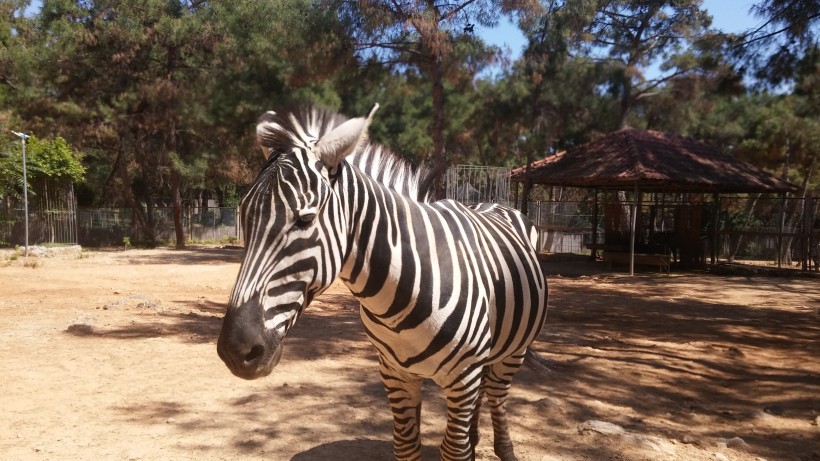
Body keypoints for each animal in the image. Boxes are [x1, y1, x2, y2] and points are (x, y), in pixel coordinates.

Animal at [219, 104, 552, 460]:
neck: (401, 295)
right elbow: (406, 446)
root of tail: (493, 204)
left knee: (497, 395)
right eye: (244, 217)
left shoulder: (463, 377)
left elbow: (454, 450)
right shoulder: (395, 374)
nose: (235, 350)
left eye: (305, 220)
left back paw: (504, 448)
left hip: (513, 351)